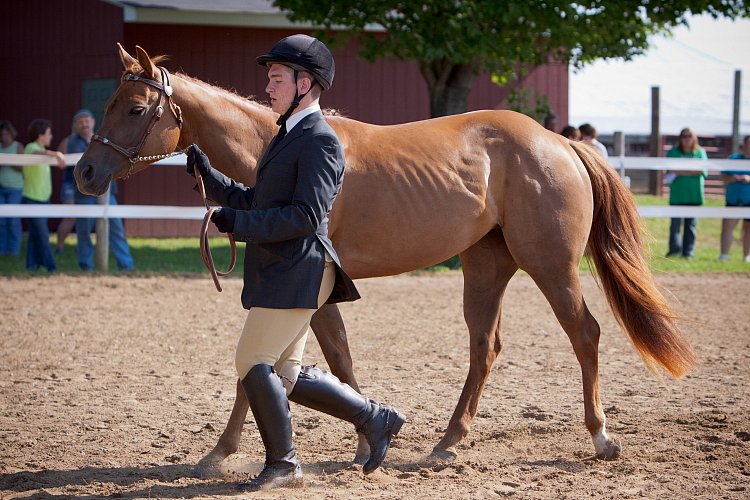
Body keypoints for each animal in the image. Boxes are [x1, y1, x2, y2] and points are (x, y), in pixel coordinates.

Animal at [73, 46, 696, 472]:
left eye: (135, 108)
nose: (84, 173)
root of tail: (559, 142)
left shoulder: (314, 288)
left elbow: (300, 365)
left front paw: (222, 454)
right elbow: (324, 362)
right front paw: (364, 439)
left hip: (551, 266)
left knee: (584, 334)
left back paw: (600, 437)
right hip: (486, 265)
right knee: (485, 347)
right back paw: (448, 443)